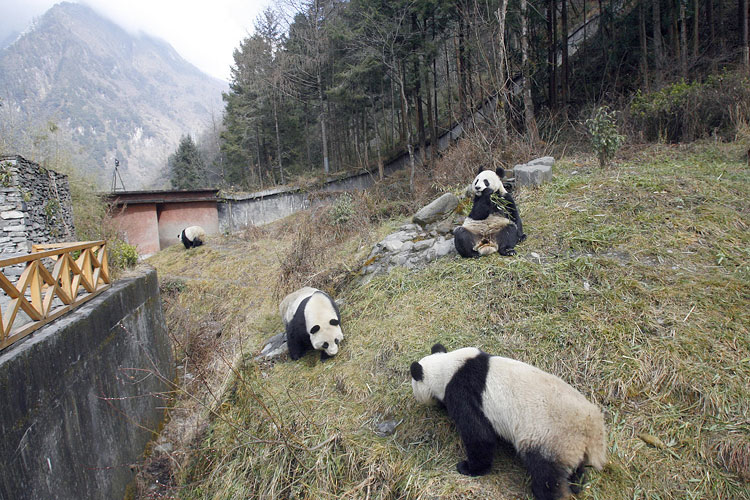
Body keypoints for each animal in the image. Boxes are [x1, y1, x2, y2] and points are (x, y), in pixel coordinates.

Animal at [408, 344, 608, 500]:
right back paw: (577, 484)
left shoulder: (464, 392)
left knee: (546, 476)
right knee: (574, 469)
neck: (448, 367)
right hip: (570, 445)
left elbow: (479, 435)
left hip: (552, 438)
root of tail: (593, 430)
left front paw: (468, 468)